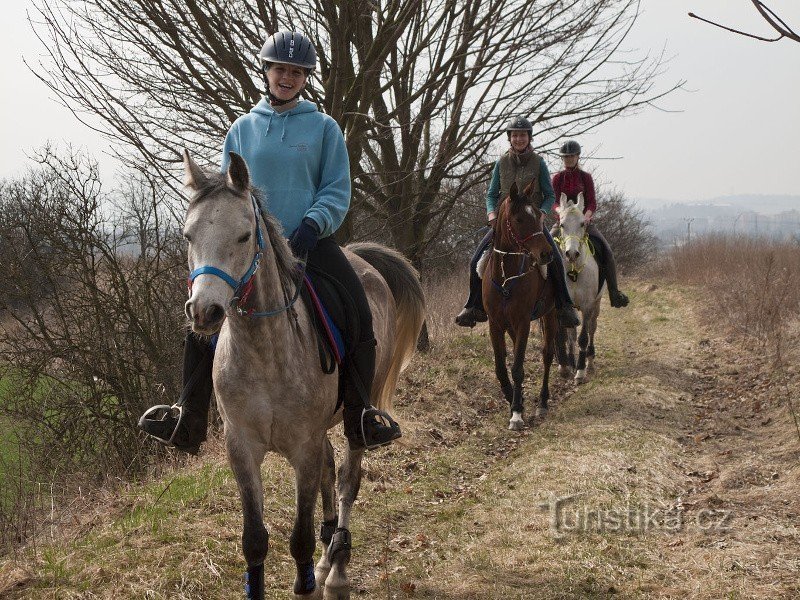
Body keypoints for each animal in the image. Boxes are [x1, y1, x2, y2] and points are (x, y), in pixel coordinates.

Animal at [180, 151, 424, 600]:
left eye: (244, 236)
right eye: (189, 236)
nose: (204, 312)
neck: (263, 352)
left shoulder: (303, 448)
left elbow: (300, 538)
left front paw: (311, 578)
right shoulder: (242, 448)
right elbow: (254, 540)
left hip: (353, 422)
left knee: (347, 479)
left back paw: (337, 567)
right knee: (331, 471)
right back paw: (329, 555)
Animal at [482, 180, 556, 428]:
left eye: (538, 216)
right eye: (519, 219)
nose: (546, 254)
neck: (507, 277)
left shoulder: (523, 322)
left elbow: (517, 368)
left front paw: (516, 412)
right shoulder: (495, 324)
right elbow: (500, 367)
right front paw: (512, 397)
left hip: (550, 314)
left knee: (547, 354)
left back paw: (542, 403)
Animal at [552, 193, 604, 384]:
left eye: (582, 223)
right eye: (562, 224)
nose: (572, 254)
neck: (573, 272)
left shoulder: (588, 306)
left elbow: (583, 337)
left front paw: (580, 372)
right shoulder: (563, 307)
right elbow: (565, 335)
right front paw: (565, 366)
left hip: (596, 305)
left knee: (592, 328)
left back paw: (590, 362)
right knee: (572, 333)